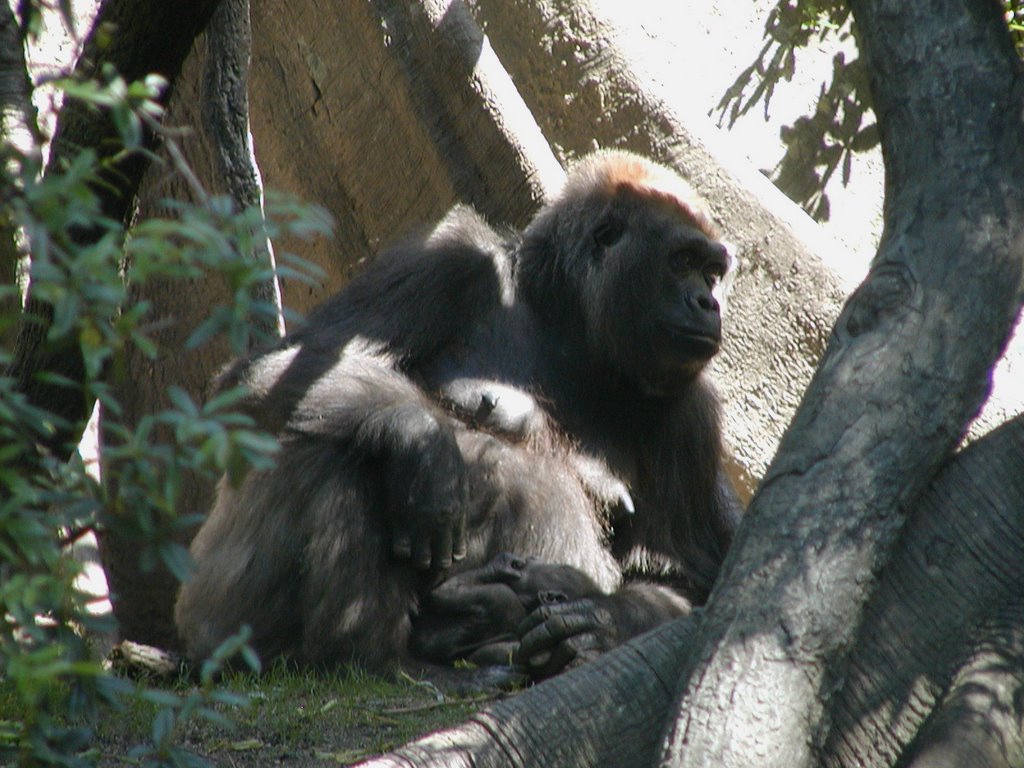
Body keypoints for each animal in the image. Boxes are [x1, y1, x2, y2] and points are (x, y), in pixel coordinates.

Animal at [172, 148, 741, 679]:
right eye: (681, 261)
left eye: (712, 273)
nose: (707, 304)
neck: (569, 320)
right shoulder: (450, 260)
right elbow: (274, 368)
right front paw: (425, 447)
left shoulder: (691, 415)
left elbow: (672, 577)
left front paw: (597, 619)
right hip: (221, 619)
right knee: (332, 436)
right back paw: (370, 655)